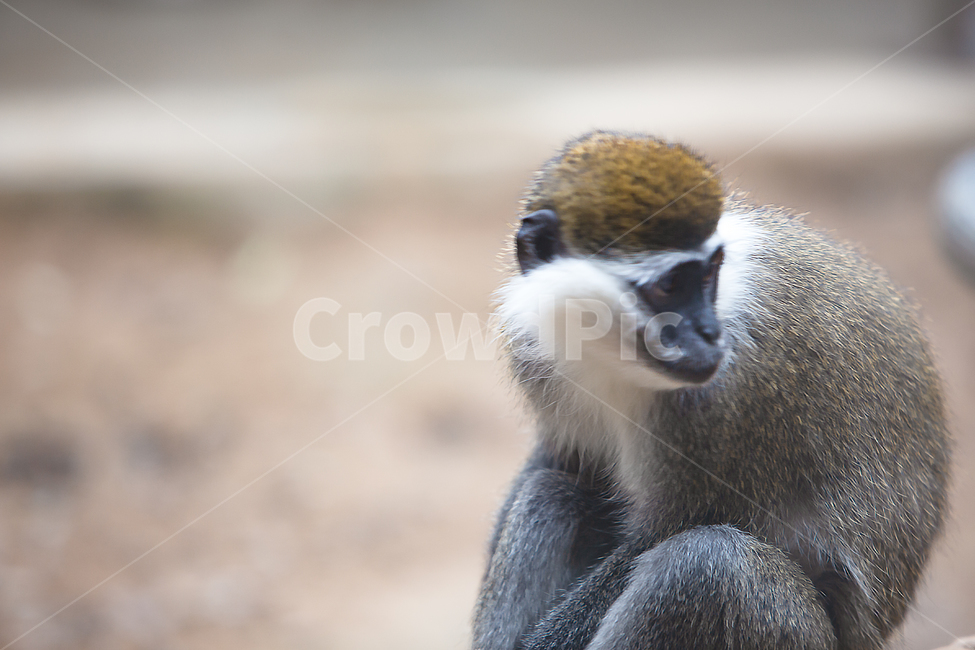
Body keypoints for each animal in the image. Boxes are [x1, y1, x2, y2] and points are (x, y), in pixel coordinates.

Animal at [471, 131, 950, 650]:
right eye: (668, 286)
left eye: (709, 274)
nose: (709, 333)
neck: (609, 349)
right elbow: (564, 462)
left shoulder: (726, 400)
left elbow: (668, 531)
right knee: (552, 494)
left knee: (708, 565)